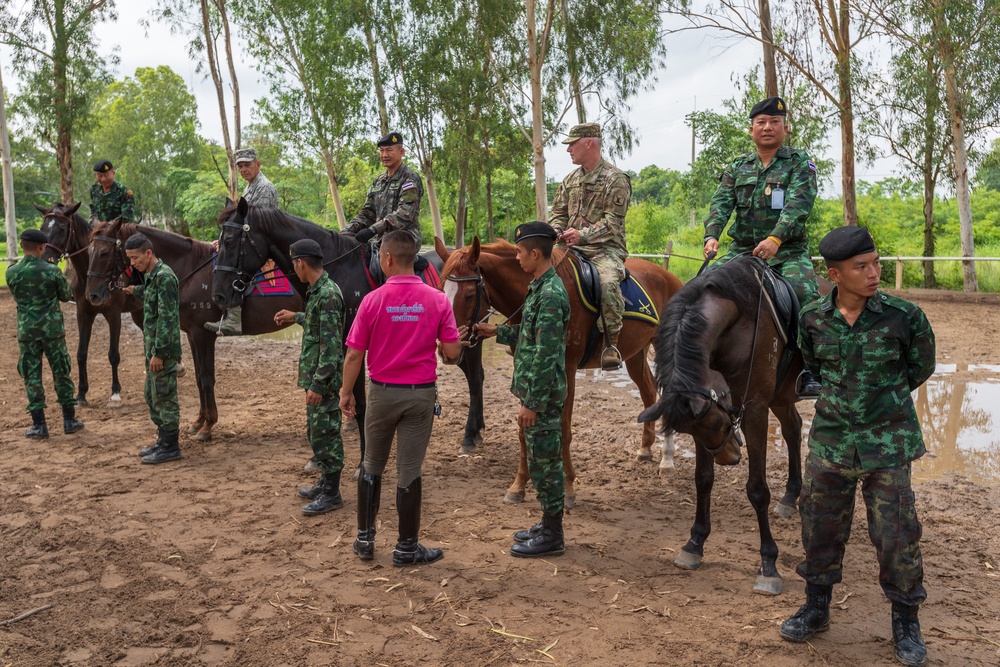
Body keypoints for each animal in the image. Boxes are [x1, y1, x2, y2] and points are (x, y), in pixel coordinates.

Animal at [35, 201, 146, 408]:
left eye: (62, 228)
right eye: (42, 228)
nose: (45, 259)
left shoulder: (114, 315)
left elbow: (113, 354)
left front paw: (115, 394)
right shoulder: (83, 313)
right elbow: (81, 353)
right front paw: (81, 394)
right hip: (138, 312)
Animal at [84, 217, 302, 440]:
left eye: (104, 253)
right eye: (89, 252)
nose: (92, 294)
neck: (191, 269)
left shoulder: (202, 334)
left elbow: (206, 379)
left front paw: (208, 426)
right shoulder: (191, 335)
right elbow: (198, 378)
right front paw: (199, 422)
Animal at [212, 198, 488, 460]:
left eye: (229, 241)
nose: (219, 295)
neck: (338, 269)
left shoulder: (352, 344)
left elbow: (361, 404)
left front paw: (362, 462)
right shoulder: (329, 339)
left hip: (467, 336)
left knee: (475, 379)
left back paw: (469, 437)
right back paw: (477, 430)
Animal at [438, 237, 688, 508]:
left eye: (469, 295)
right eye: (441, 290)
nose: (448, 351)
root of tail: (671, 278)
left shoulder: (565, 369)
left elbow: (565, 429)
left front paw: (567, 487)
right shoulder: (527, 366)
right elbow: (523, 430)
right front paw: (519, 485)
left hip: (663, 348)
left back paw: (667, 460)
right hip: (635, 354)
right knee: (649, 392)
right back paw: (646, 449)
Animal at [640, 256, 812, 596]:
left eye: (718, 420)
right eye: (693, 431)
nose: (729, 458)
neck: (736, 321)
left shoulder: (755, 409)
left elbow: (757, 490)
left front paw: (768, 565)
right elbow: (703, 479)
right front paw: (694, 543)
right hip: (782, 395)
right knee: (793, 429)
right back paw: (790, 498)